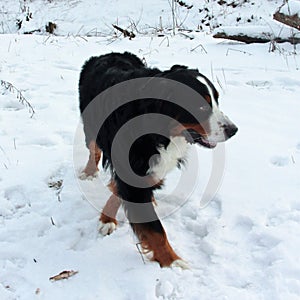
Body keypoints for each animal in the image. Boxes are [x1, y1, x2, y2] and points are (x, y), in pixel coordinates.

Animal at [78, 50, 238, 268]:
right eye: (200, 107)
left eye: (216, 100)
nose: (233, 130)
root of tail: (109, 53)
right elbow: (156, 231)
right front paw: (173, 262)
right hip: (91, 125)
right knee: (93, 149)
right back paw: (89, 171)